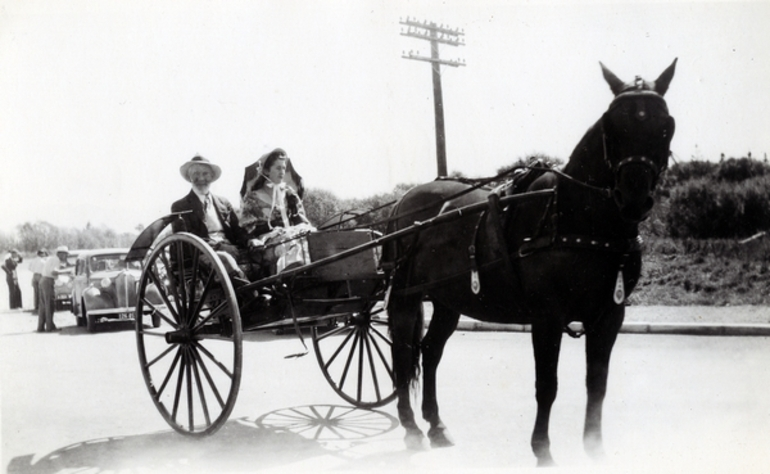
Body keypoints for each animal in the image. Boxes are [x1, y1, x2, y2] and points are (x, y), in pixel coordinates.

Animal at [380, 60, 676, 466]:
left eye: (665, 125)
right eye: (611, 123)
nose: (633, 198)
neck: (572, 216)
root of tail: (404, 201)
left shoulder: (609, 316)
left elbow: (597, 384)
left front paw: (595, 448)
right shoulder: (547, 317)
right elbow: (547, 385)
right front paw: (543, 449)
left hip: (448, 300)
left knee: (431, 351)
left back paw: (436, 425)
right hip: (407, 297)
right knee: (404, 353)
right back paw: (410, 427)